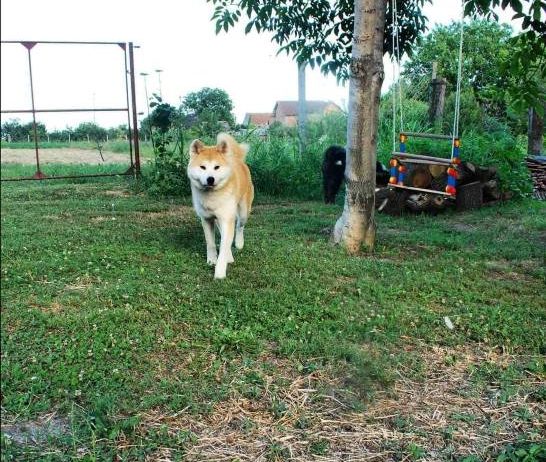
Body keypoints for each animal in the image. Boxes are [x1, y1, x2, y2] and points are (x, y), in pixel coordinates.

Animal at [186, 132, 254, 280]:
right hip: (219, 219)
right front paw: (212, 260)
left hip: (243, 212)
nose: (210, 179)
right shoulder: (206, 219)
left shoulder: (227, 218)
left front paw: (220, 272)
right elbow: (211, 243)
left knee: (239, 226)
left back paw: (238, 243)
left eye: (217, 167)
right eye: (203, 167)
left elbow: (224, 246)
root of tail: (237, 159)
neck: (212, 197)